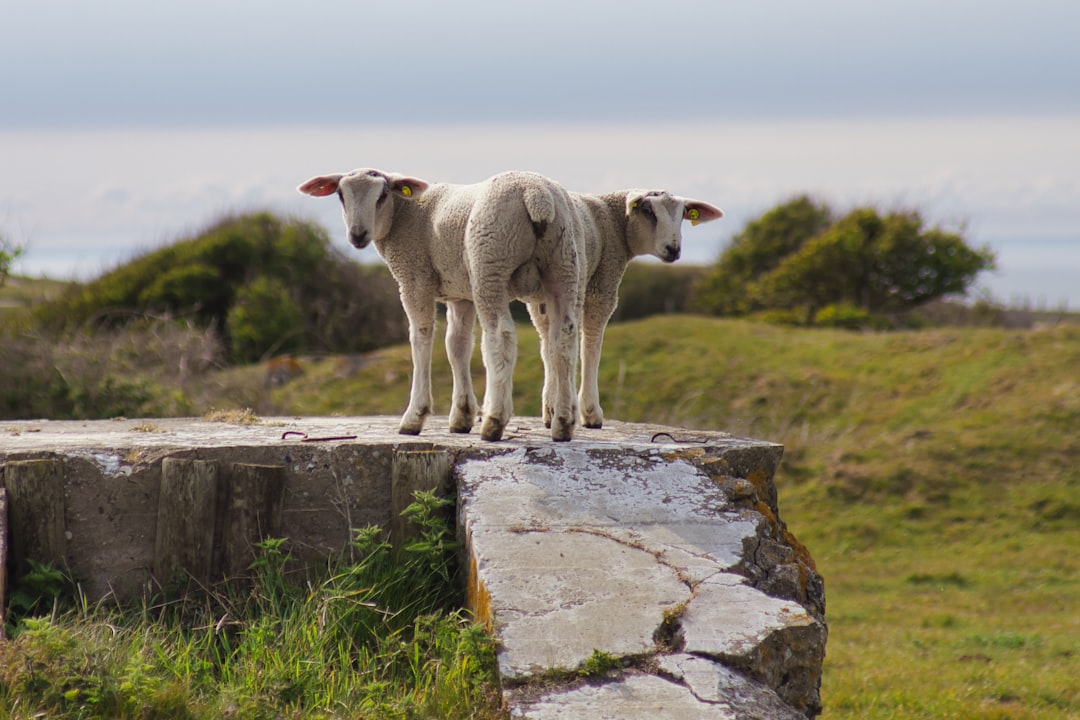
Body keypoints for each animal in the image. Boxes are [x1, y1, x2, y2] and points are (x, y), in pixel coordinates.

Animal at [295, 169, 587, 442]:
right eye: (340, 195)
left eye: (382, 195)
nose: (357, 235)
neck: (403, 214)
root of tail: (536, 195)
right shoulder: (460, 294)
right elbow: (457, 346)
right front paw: (461, 416)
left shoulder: (415, 278)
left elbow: (421, 338)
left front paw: (415, 416)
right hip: (563, 264)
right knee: (563, 337)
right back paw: (563, 422)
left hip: (490, 261)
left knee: (500, 335)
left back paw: (494, 421)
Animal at [524, 188, 721, 431]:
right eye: (647, 210)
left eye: (683, 213)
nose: (673, 249)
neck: (614, 220)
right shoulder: (602, 284)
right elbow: (591, 346)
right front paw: (590, 413)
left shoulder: (540, 299)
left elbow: (548, 346)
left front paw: (550, 408)